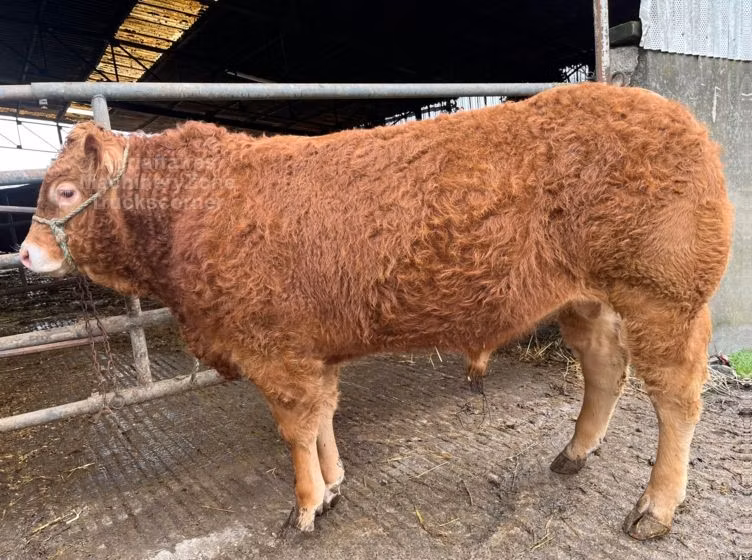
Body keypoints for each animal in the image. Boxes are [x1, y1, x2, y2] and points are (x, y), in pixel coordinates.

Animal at [20, 83, 733, 540]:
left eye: (66, 190)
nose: (24, 253)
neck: (191, 210)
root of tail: (678, 117)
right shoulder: (308, 350)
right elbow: (323, 417)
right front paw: (334, 486)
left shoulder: (273, 351)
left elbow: (296, 431)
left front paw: (305, 508)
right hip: (589, 299)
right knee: (605, 369)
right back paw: (575, 454)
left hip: (665, 294)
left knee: (677, 397)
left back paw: (655, 509)